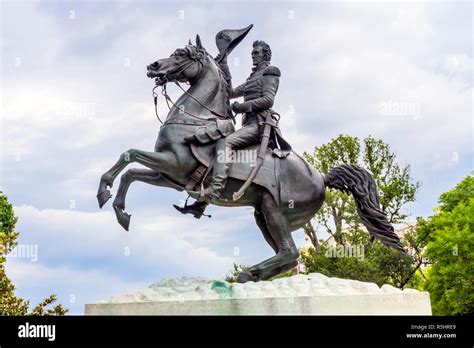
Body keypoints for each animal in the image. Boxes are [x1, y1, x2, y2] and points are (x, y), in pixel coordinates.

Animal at [95, 34, 404, 282]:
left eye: (181, 54)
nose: (153, 66)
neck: (195, 119)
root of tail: (321, 177)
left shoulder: (174, 165)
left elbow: (129, 154)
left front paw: (104, 192)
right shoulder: (171, 177)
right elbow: (131, 172)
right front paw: (119, 210)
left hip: (274, 210)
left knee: (290, 251)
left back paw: (247, 273)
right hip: (261, 215)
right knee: (289, 256)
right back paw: (254, 276)